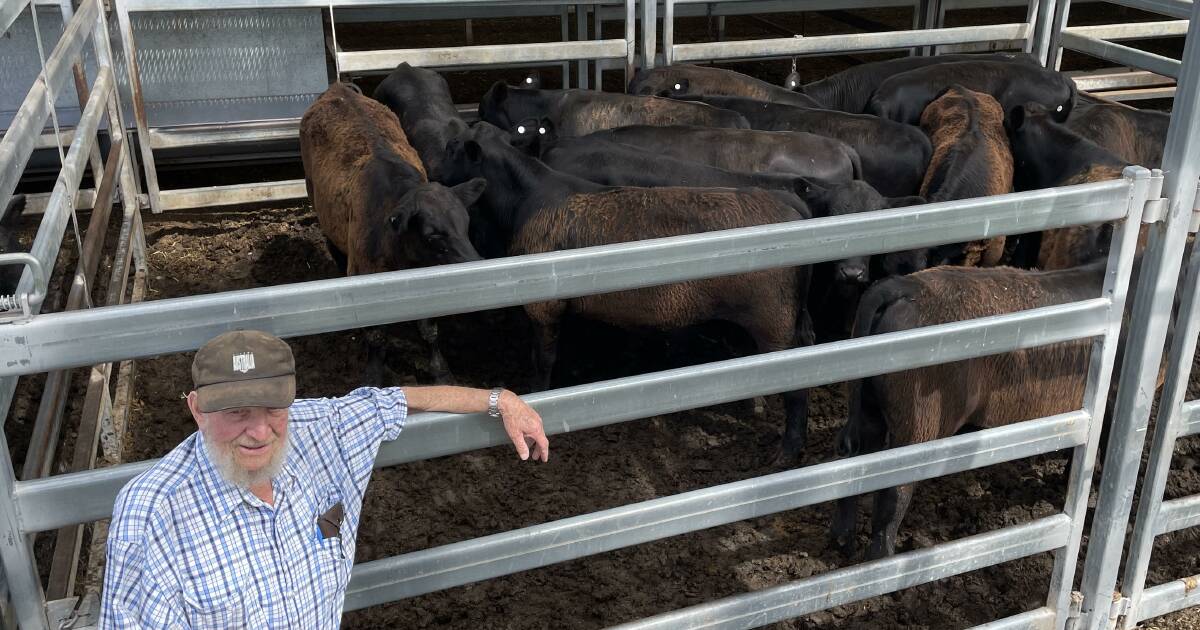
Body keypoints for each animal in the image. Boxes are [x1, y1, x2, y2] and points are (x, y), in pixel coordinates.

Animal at [446, 123, 820, 458]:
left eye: (453, 147)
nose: (435, 166)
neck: (530, 197)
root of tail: (788, 203)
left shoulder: (545, 305)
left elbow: (543, 358)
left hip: (773, 321)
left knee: (796, 384)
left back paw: (787, 452)